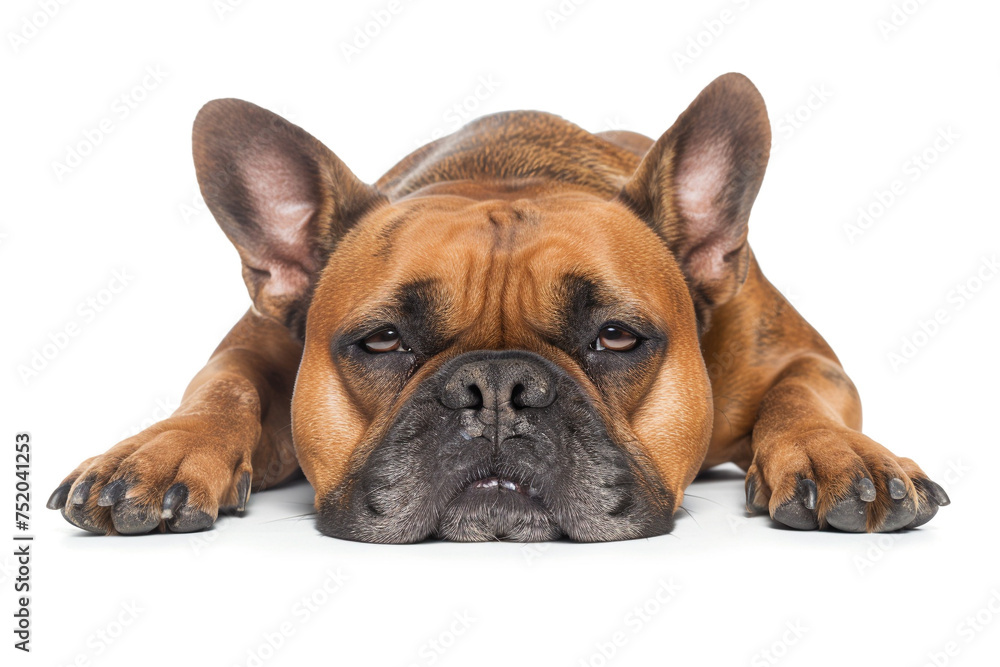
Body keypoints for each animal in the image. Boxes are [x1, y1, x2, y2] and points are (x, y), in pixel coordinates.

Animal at [47, 73, 948, 544]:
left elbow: (805, 393)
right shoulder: (255, 347)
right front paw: (161, 453)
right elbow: (222, 385)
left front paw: (839, 455)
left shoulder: (796, 355)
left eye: (617, 336)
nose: (497, 389)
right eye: (382, 341)